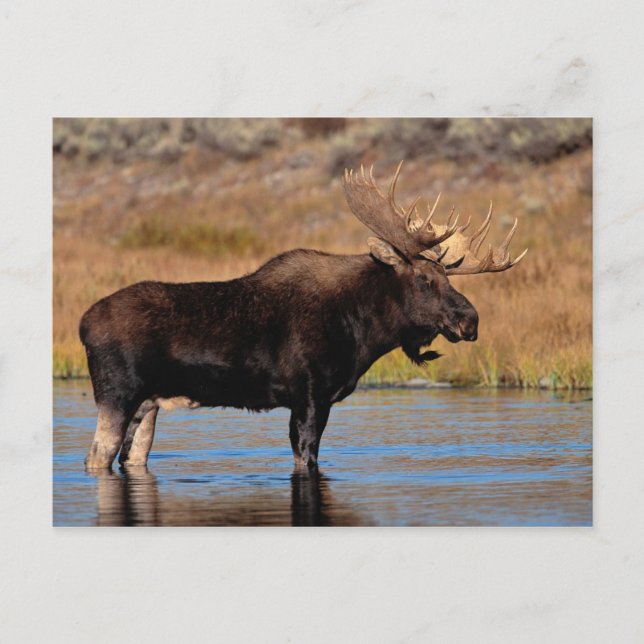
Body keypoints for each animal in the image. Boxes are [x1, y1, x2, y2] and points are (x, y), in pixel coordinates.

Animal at [80, 162, 527, 470]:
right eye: (424, 278)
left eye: (447, 276)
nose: (470, 320)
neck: (363, 331)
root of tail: (83, 324)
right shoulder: (310, 395)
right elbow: (306, 457)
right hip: (117, 393)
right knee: (97, 456)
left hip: (148, 404)